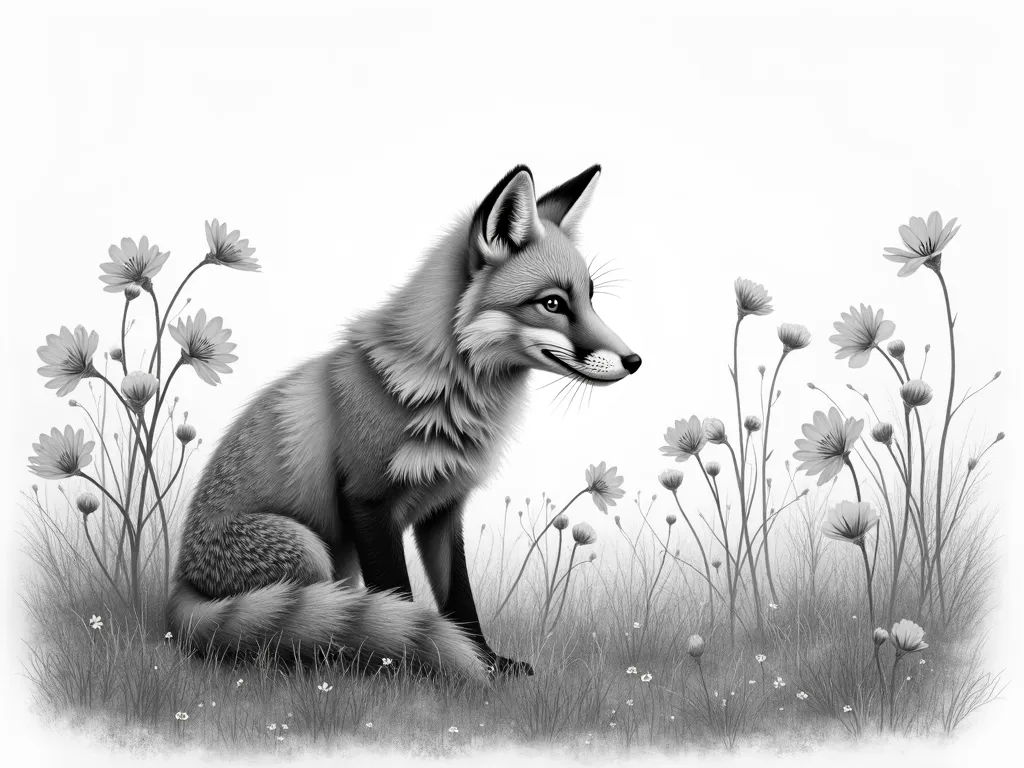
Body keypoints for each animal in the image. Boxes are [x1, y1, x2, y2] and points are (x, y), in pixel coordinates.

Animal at [167, 164, 641, 683]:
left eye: (591, 299)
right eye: (553, 304)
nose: (635, 361)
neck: (444, 392)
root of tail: (179, 587)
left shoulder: (444, 508)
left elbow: (460, 600)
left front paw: (487, 663)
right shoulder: (368, 501)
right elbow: (397, 594)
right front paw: (407, 664)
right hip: (307, 547)